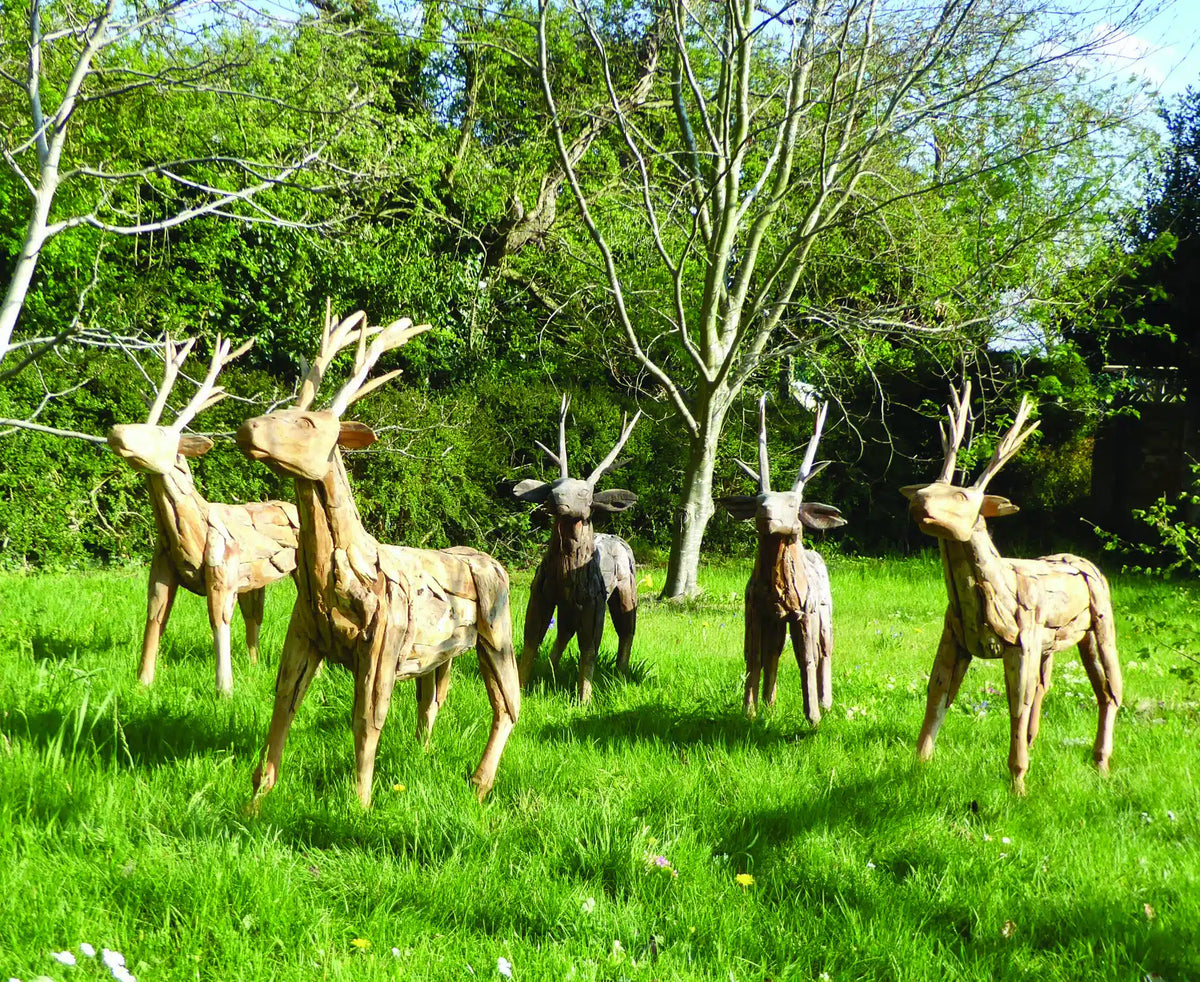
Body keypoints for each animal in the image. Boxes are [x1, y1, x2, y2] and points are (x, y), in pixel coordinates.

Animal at [106, 335, 300, 697]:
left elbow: (218, 622)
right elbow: (155, 617)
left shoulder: (222, 568)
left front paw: (224, 690)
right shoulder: (162, 568)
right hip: (254, 580)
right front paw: (143, 682)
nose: (116, 431)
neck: (187, 535)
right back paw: (254, 666)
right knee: (255, 617)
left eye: (163, 436)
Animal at [234, 307, 521, 807]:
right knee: (433, 699)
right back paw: (425, 755)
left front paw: (360, 804)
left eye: (308, 424)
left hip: (496, 628)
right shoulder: (303, 632)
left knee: (509, 703)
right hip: (443, 649)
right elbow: (283, 701)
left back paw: (479, 783)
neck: (332, 581)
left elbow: (367, 719)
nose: (247, 429)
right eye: (277, 411)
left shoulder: (384, 638)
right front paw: (258, 796)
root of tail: (495, 562)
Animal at [508, 396, 641, 704]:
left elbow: (589, 649)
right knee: (563, 633)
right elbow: (531, 639)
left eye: (584, 493)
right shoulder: (542, 593)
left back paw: (620, 673)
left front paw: (584, 699)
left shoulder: (594, 601)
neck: (566, 573)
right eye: (554, 485)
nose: (554, 498)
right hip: (569, 607)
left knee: (627, 629)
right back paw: (551, 668)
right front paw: (520, 688)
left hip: (626, 587)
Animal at [717, 395, 847, 723]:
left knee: (825, 650)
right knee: (773, 652)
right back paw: (769, 703)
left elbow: (807, 658)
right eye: (759, 501)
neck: (778, 589)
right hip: (777, 622)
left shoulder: (804, 613)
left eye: (793, 504)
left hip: (824, 615)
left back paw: (826, 702)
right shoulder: (756, 611)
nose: (766, 515)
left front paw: (812, 716)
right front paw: (750, 711)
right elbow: (754, 656)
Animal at [901, 381, 1122, 794]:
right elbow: (937, 694)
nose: (919, 502)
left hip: (1099, 625)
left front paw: (1018, 785)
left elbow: (1015, 705)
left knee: (1110, 690)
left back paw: (1101, 763)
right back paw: (1041, 742)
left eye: (962, 497)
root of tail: (1085, 561)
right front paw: (918, 766)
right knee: (1045, 688)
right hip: (1053, 646)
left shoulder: (1022, 641)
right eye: (928, 488)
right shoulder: (953, 637)